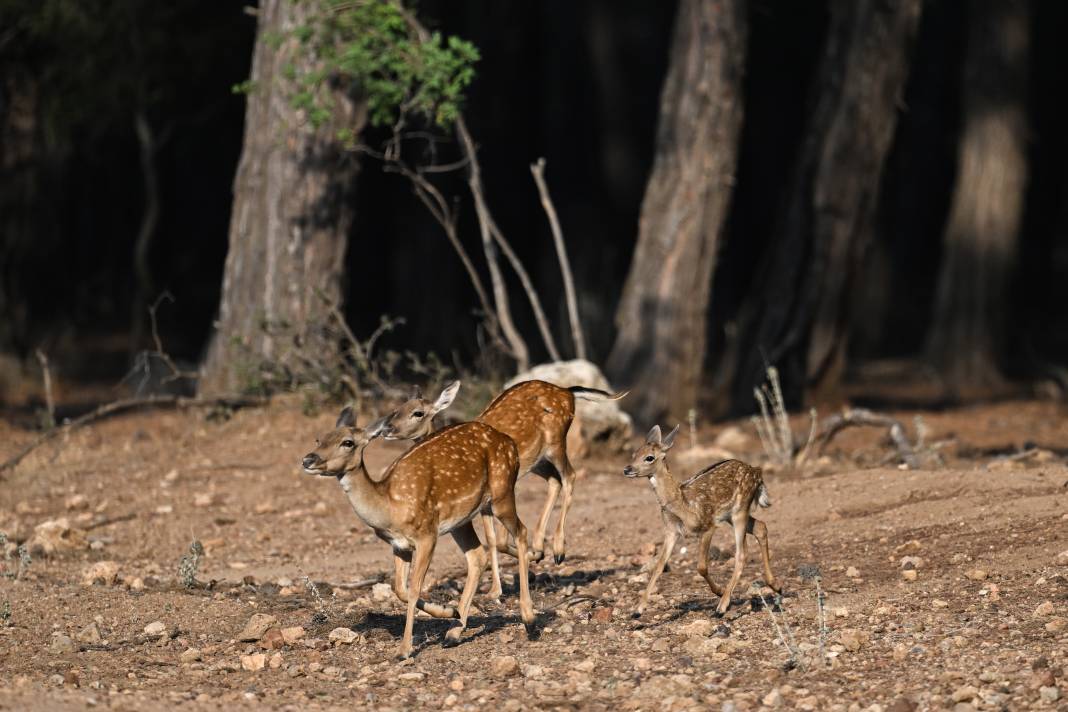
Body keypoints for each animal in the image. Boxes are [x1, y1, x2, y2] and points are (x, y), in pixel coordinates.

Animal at [301, 405, 534, 657]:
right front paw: (448, 610)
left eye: (347, 442)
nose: (308, 459)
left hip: (502, 491)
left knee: (522, 532)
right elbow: (399, 589)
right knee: (477, 556)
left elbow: (413, 589)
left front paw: (404, 650)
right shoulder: (399, 545)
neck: (390, 507)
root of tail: (509, 441)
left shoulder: (427, 535)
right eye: (319, 439)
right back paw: (453, 632)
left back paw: (529, 619)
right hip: (461, 520)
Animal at [623, 422, 781, 619]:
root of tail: (757, 472)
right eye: (634, 453)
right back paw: (776, 586)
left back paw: (722, 606)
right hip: (732, 516)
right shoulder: (671, 530)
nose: (627, 469)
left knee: (742, 553)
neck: (682, 504)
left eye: (649, 457)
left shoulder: (708, 525)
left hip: (740, 510)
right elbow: (659, 566)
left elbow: (701, 566)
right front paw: (637, 610)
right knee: (761, 527)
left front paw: (719, 592)